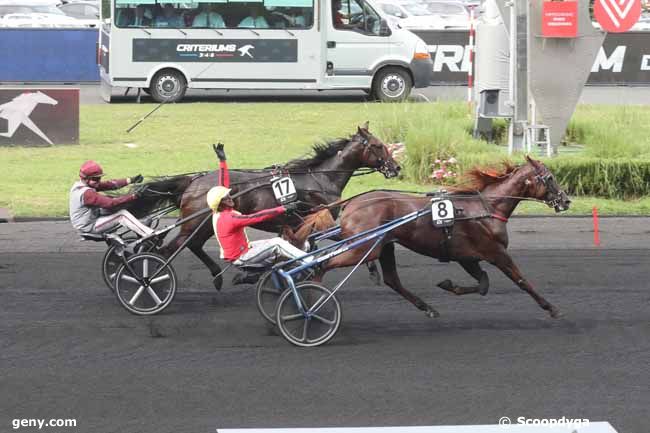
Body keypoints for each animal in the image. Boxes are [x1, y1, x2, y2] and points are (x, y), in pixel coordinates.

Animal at [308, 155, 568, 318]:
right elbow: (521, 280)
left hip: (383, 246)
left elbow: (483, 284)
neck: (486, 208)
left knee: (392, 280)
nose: (566, 200)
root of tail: (351, 203)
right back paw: (313, 298)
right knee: (324, 265)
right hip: (362, 248)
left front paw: (449, 285)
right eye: (550, 177)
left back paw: (427, 308)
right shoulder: (495, 252)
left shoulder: (467, 257)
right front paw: (551, 307)